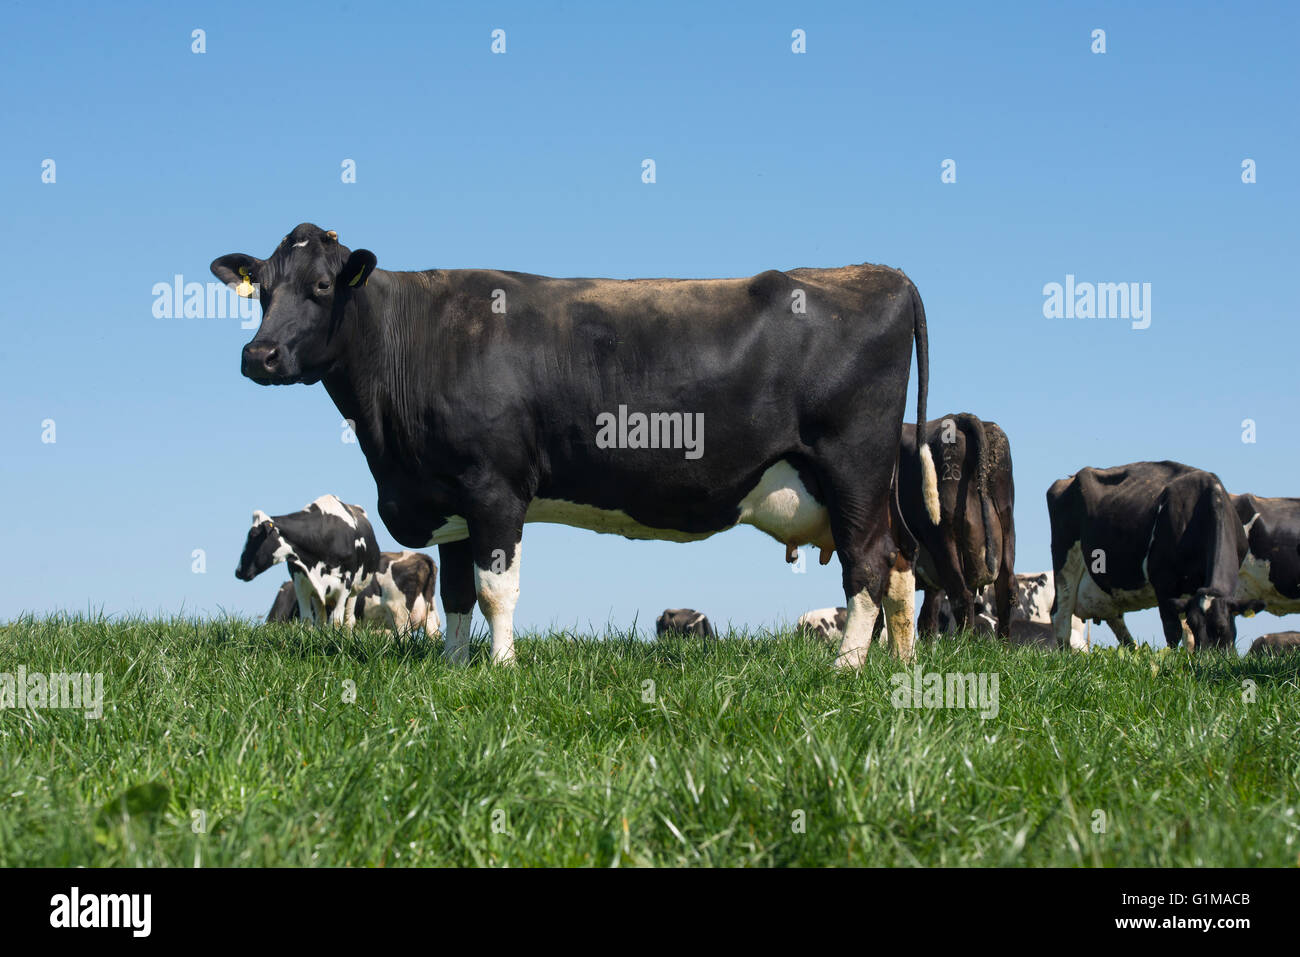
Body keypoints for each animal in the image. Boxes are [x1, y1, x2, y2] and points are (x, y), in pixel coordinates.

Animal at [236, 494, 379, 629]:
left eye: (252, 536)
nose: (238, 571)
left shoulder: (345, 585)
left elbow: (336, 621)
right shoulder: (301, 583)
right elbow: (307, 619)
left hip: (355, 590)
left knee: (349, 619)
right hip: (317, 596)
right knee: (321, 619)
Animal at [899, 416, 1019, 639]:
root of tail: (959, 416)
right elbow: (927, 616)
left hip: (944, 538)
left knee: (961, 596)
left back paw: (964, 644)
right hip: (1007, 528)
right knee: (1005, 590)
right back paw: (1003, 644)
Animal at [1045, 462, 1268, 650]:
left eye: (1221, 627)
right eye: (1196, 626)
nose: (1206, 657)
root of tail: (1068, 479)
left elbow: (1185, 633)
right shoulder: (1163, 582)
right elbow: (1173, 631)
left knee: (1115, 619)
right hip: (1065, 562)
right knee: (1061, 617)